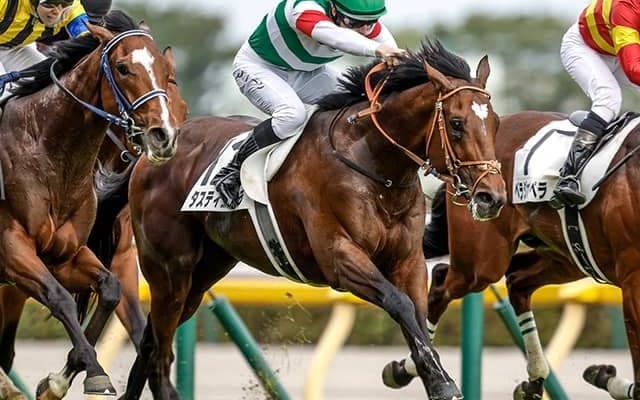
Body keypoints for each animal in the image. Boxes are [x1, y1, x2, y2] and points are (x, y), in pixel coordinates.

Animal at [0, 11, 181, 399]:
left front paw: (67, 376)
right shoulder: (11, 248)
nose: (164, 135)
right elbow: (60, 298)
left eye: (166, 72)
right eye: (123, 68)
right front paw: (87, 372)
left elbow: (109, 291)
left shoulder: (67, 254)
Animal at [96, 40, 507, 400]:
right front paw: (440, 382)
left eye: (495, 123)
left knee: (150, 343)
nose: (493, 196)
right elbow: (401, 305)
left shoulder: (408, 262)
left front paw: (418, 374)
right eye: (456, 123)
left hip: (202, 274)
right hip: (169, 270)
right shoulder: (340, 259)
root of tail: (152, 154)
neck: (375, 165)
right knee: (160, 351)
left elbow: (418, 318)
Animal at [382, 109, 640, 400]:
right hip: (482, 262)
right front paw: (605, 375)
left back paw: (535, 380)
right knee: (440, 282)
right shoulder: (633, 280)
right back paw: (407, 368)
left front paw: (603, 375)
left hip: (568, 257)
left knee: (518, 279)